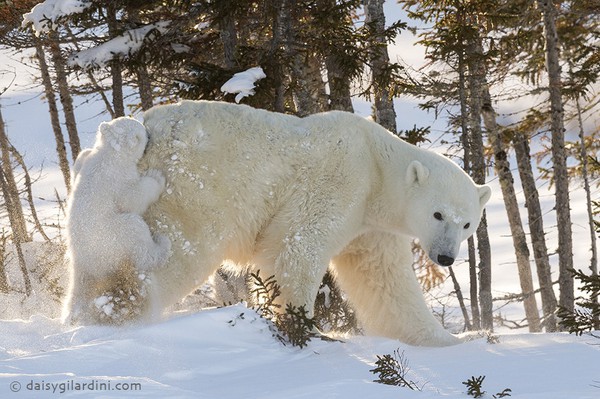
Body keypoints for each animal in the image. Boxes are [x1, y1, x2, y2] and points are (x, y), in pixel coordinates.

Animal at [63, 116, 171, 324]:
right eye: (141, 132)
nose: (149, 134)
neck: (110, 155)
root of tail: (82, 262)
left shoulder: (86, 159)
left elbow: (80, 159)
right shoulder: (118, 180)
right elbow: (132, 199)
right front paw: (156, 176)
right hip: (112, 235)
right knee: (136, 232)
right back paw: (162, 243)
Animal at [135, 101, 488, 346]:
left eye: (467, 224)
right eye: (438, 214)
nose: (445, 257)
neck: (376, 165)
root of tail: (147, 126)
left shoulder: (373, 226)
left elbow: (385, 280)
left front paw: (456, 340)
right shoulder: (339, 182)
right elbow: (295, 248)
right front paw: (310, 328)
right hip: (192, 188)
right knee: (179, 252)